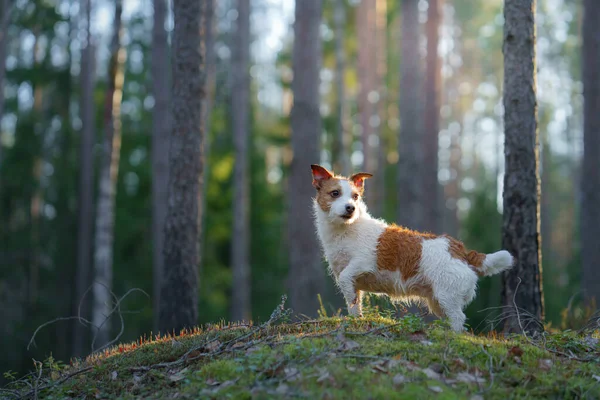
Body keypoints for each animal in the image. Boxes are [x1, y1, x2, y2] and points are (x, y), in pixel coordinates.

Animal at [312, 163, 512, 332]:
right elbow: (353, 302)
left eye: (355, 196)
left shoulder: (362, 263)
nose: (350, 208)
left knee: (458, 320)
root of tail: (461, 251)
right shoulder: (353, 282)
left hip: (447, 297)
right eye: (335, 193)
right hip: (437, 301)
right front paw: (356, 320)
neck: (348, 229)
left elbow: (346, 278)